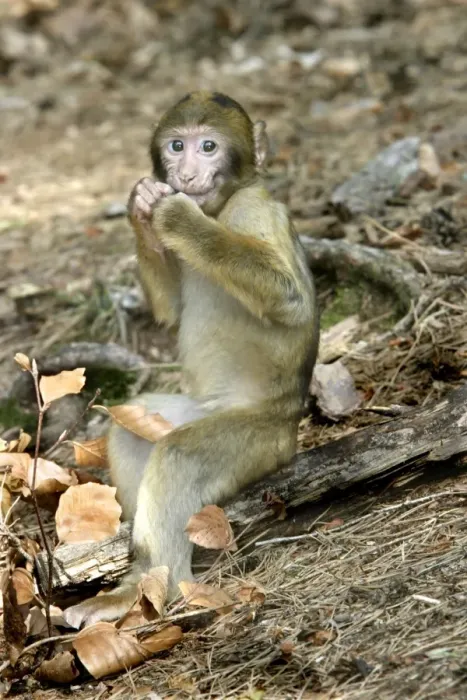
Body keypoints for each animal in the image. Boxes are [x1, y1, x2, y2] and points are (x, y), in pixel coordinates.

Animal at [64, 91, 319, 628]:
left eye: (208, 147)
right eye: (176, 145)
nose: (184, 173)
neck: (219, 209)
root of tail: (290, 432)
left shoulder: (254, 211)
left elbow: (289, 298)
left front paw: (177, 219)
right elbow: (170, 312)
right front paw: (142, 205)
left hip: (258, 442)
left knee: (179, 456)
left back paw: (161, 590)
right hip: (189, 412)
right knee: (132, 428)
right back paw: (139, 579)